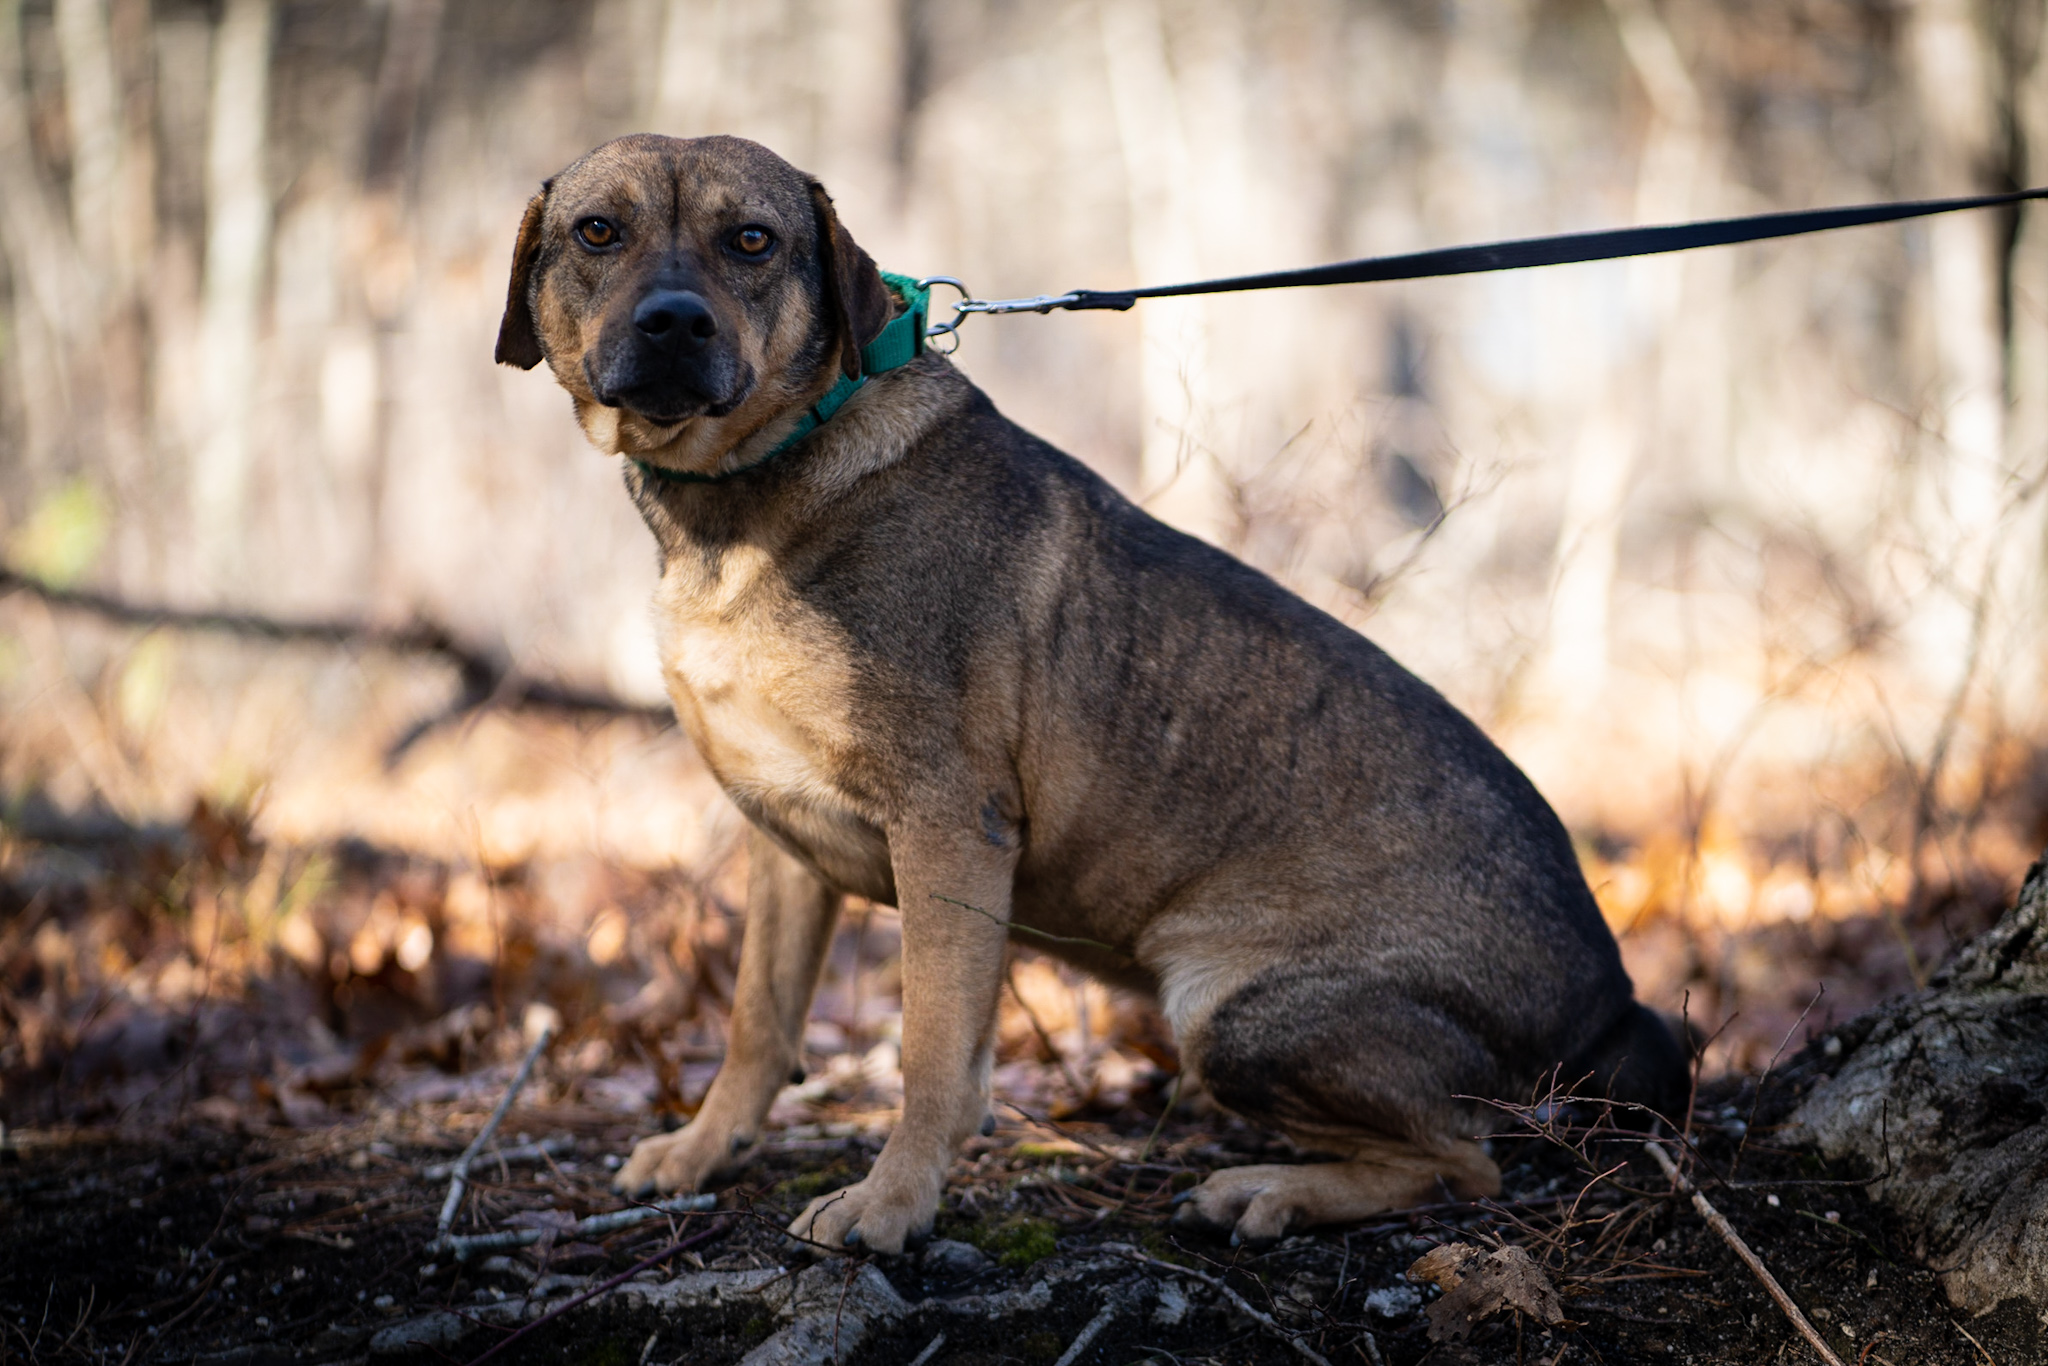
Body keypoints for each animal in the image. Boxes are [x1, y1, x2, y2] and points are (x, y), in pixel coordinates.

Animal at [495, 133, 1679, 1253]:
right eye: (598, 231)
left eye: (752, 240)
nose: (673, 323)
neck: (747, 488)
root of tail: (1609, 999)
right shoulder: (782, 844)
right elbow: (758, 1018)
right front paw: (703, 1149)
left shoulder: (948, 826)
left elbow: (930, 1050)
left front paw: (892, 1204)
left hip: (1229, 1011)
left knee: (1465, 1161)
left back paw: (1269, 1189)